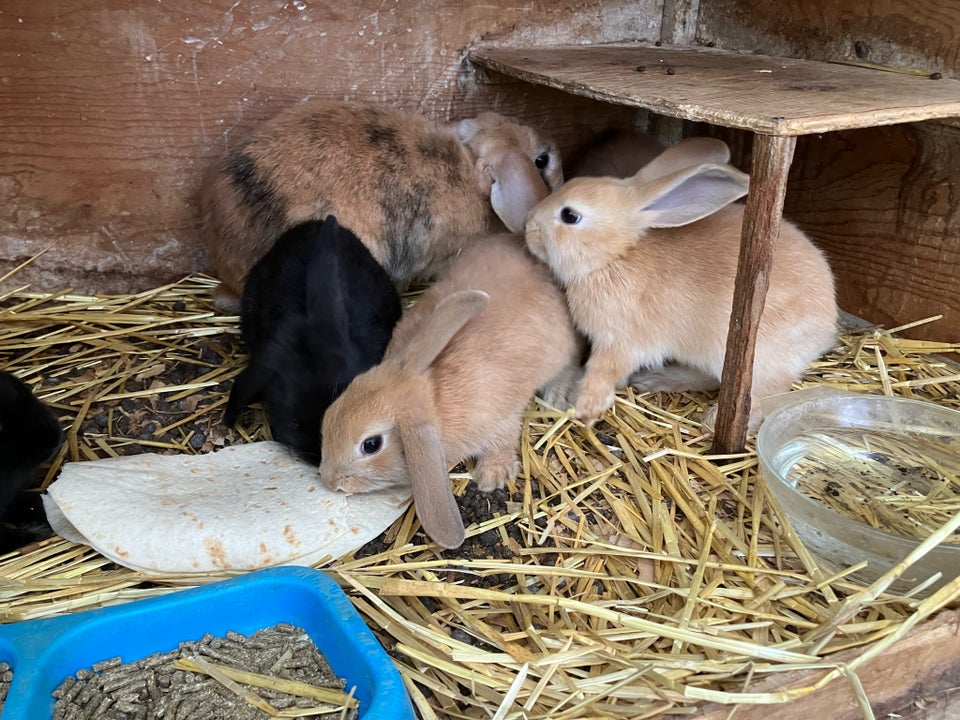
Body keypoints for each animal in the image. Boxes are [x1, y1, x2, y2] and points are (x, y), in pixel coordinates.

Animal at [318, 233, 580, 548]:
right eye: (334, 409)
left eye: (371, 445)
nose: (329, 480)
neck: (433, 395)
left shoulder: (499, 418)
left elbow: (503, 440)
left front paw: (491, 477)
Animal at [524, 137, 840, 430]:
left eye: (570, 215)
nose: (528, 227)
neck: (614, 256)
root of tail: (829, 322)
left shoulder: (622, 341)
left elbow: (605, 372)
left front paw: (585, 409)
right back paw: (657, 379)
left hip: (754, 359)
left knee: (766, 391)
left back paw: (714, 419)